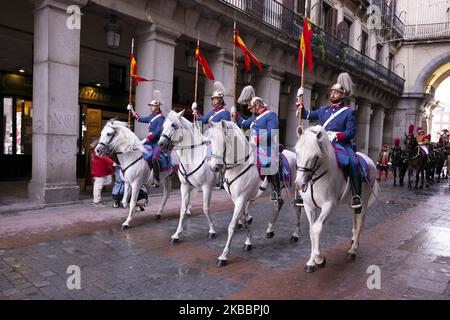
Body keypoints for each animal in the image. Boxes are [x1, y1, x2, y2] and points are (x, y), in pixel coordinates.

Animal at [207, 121, 302, 266]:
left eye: (223, 142)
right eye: (211, 140)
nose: (214, 168)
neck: (239, 165)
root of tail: (293, 154)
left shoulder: (241, 199)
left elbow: (232, 225)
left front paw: (223, 256)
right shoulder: (237, 199)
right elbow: (242, 219)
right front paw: (248, 241)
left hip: (291, 189)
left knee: (296, 209)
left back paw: (295, 235)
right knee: (278, 204)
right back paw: (270, 230)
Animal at [296, 125, 380, 272]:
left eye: (315, 157)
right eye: (297, 153)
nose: (299, 183)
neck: (315, 179)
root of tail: (369, 160)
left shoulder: (329, 205)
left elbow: (317, 228)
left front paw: (319, 259)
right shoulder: (309, 206)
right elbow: (312, 231)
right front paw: (311, 262)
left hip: (363, 202)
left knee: (360, 222)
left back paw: (353, 250)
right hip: (350, 203)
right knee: (354, 220)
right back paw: (353, 241)